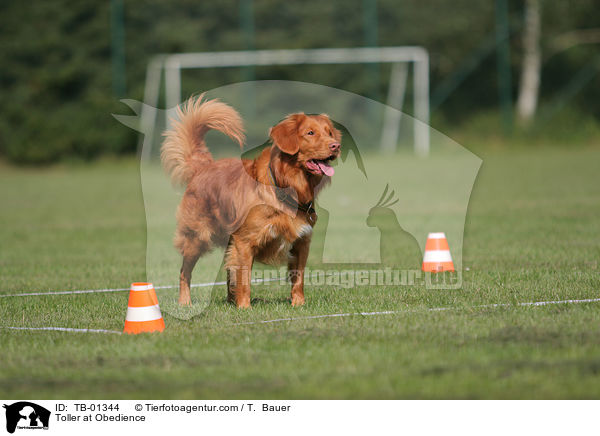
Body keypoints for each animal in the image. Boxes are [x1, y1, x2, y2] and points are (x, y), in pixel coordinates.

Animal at [162, 95, 340, 306]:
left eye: (329, 133)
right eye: (310, 133)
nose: (336, 146)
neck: (287, 187)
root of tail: (203, 167)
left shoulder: (302, 241)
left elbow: (299, 278)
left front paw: (298, 304)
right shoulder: (245, 241)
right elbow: (245, 278)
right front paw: (244, 307)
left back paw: (230, 300)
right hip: (196, 237)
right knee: (185, 271)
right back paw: (185, 302)